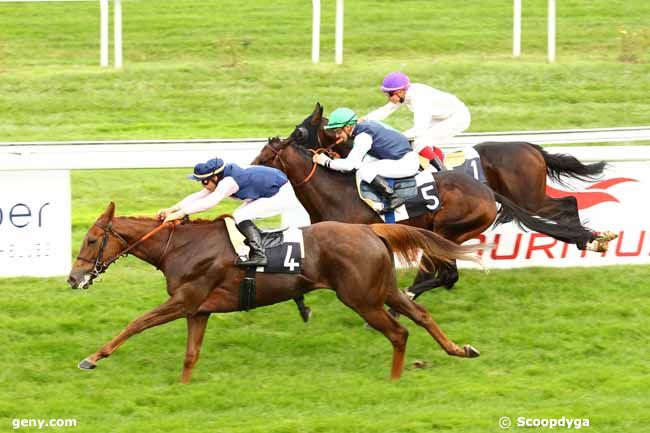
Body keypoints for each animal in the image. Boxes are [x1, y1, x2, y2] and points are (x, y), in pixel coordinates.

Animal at [69, 202, 486, 382]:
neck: (180, 247)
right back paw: (461, 349)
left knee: (399, 332)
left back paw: (394, 379)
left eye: (90, 239)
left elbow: (137, 323)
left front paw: (91, 358)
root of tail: (371, 229)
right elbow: (191, 354)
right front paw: (184, 387)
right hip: (382, 289)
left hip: (361, 298)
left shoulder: (184, 300)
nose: (74, 279)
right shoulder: (198, 310)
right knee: (421, 315)